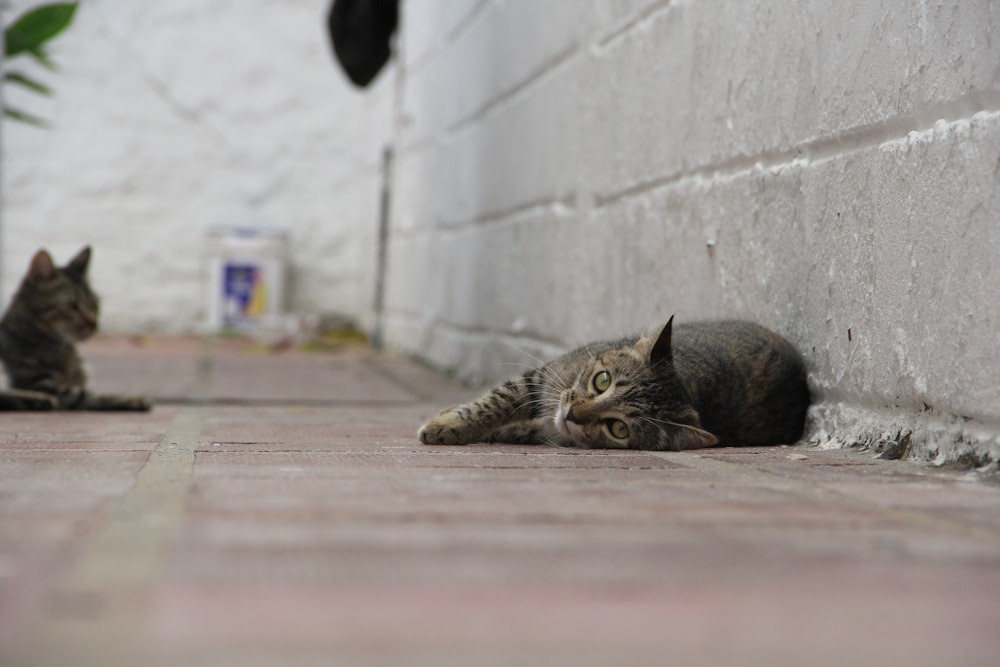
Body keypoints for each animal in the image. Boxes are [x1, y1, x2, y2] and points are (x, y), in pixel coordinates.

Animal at [418, 316, 808, 452]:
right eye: (602, 380)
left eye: (618, 428)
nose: (572, 414)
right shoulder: (541, 377)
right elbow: (494, 402)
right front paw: (450, 423)